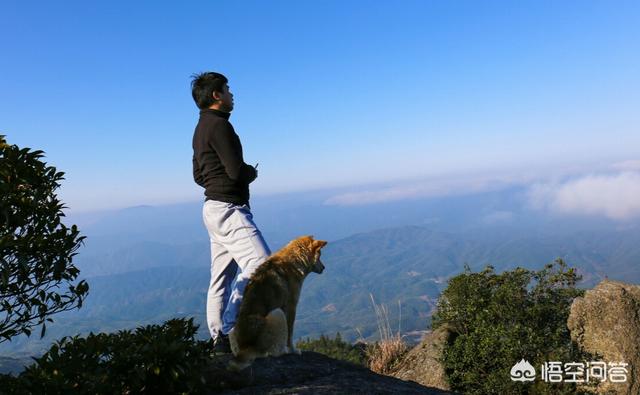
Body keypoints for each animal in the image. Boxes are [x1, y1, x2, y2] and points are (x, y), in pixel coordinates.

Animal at [228, 235, 328, 372]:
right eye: (320, 254)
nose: (324, 268)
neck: (294, 261)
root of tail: (246, 347)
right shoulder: (291, 307)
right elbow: (290, 334)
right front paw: (293, 350)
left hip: (232, 328)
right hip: (278, 313)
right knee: (273, 352)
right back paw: (285, 351)